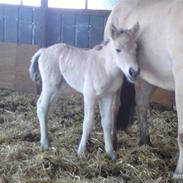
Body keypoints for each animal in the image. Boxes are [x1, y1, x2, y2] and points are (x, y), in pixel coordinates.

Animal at [29, 22, 139, 159]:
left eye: (136, 49)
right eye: (118, 49)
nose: (134, 72)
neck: (105, 68)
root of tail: (44, 50)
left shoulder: (107, 96)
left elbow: (107, 123)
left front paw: (111, 153)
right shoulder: (89, 95)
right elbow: (87, 122)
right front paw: (81, 151)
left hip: (58, 89)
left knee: (44, 107)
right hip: (50, 85)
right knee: (42, 107)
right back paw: (45, 143)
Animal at [105, 0, 183, 179]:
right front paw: (179, 173)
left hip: (150, 77)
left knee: (141, 103)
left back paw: (144, 140)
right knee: (115, 106)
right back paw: (114, 142)